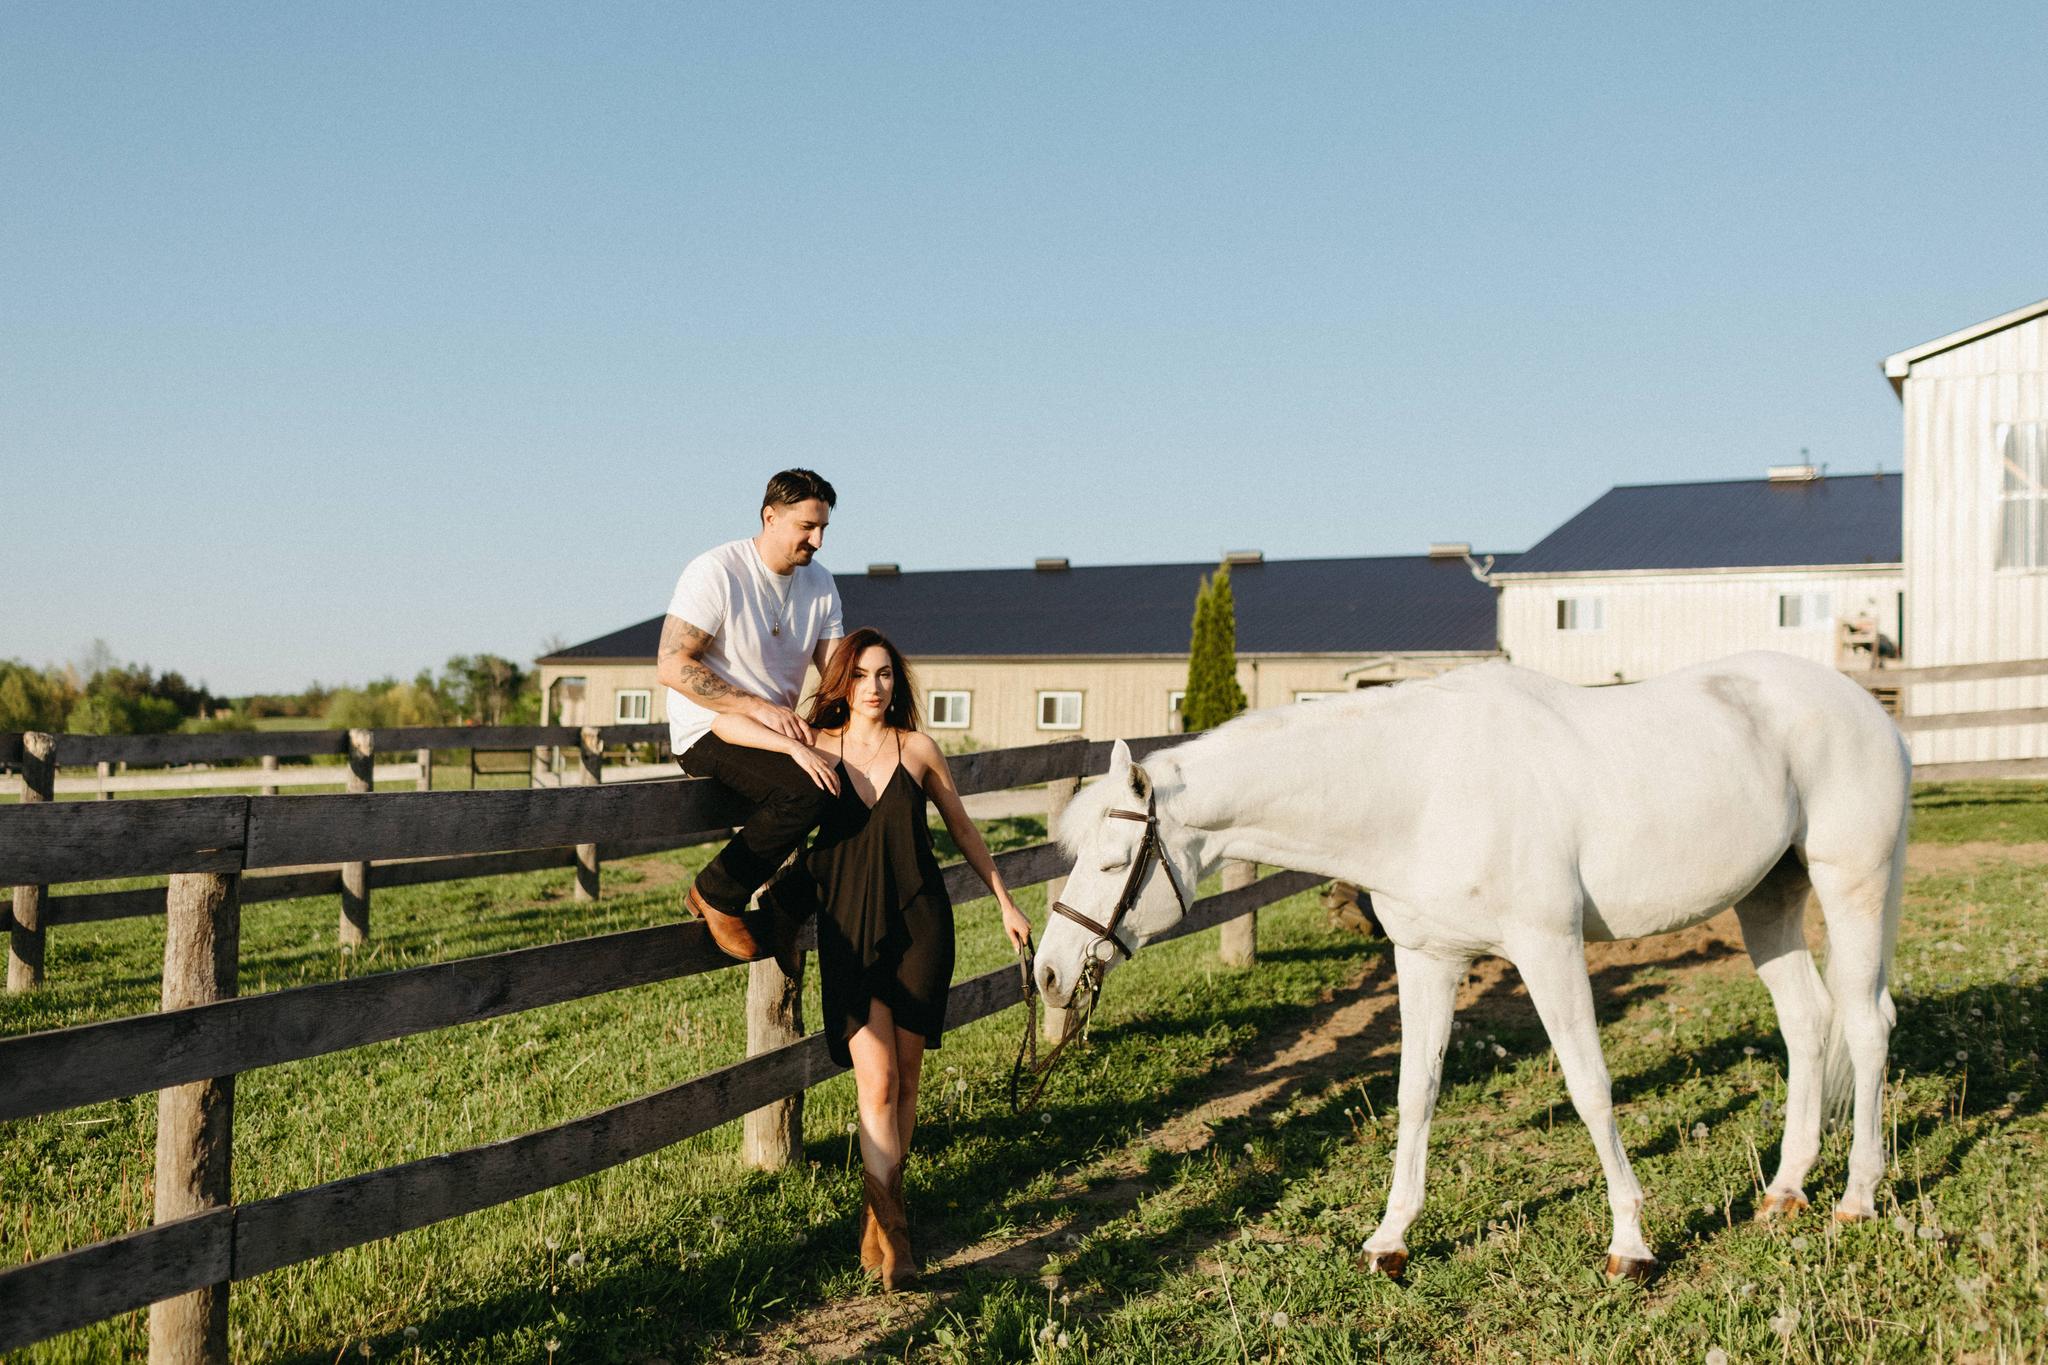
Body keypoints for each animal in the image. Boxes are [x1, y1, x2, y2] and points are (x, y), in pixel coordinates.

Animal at [1048, 650, 1908, 1285]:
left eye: (1114, 859)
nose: (1052, 971)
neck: (1423, 789)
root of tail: (1871, 712)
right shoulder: (1426, 958)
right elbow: (1416, 1093)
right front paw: (1389, 1240)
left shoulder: (1549, 948)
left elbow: (1590, 1087)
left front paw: (1630, 1244)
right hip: (1768, 898)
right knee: (1807, 1021)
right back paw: (1785, 1191)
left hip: (1851, 882)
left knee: (1866, 1025)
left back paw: (1857, 1199)